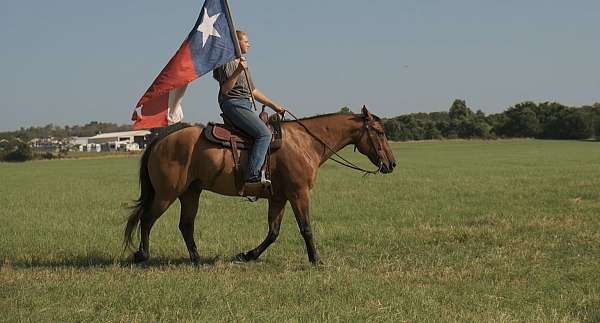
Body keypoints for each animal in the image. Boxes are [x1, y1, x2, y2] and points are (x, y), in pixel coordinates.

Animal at [124, 106, 396, 266]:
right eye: (380, 132)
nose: (392, 164)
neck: (304, 142)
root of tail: (161, 139)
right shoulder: (299, 194)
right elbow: (306, 228)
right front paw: (316, 260)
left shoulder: (278, 198)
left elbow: (273, 232)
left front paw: (248, 255)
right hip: (166, 194)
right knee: (147, 220)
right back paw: (143, 255)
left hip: (190, 193)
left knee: (185, 225)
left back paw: (197, 259)